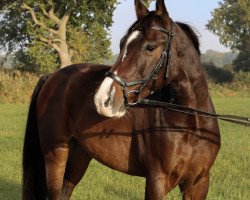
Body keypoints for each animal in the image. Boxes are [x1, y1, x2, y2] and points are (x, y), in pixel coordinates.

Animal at [22, 0, 220, 199]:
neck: (191, 126)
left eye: (150, 47)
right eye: (122, 43)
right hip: (56, 153)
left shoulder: (198, 184)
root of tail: (52, 76)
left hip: (79, 153)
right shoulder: (157, 181)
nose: (103, 99)